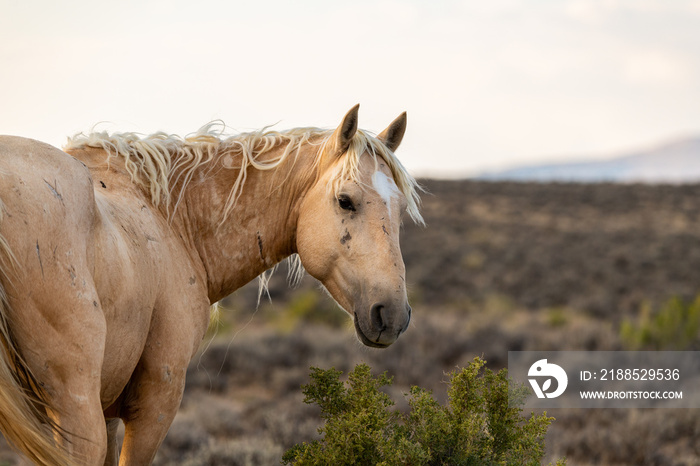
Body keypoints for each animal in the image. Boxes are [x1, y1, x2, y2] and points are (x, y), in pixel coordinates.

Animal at [0, 106, 422, 466]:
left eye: (401, 209)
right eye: (345, 201)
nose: (393, 314)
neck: (171, 219)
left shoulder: (109, 410)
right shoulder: (155, 397)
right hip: (75, 408)